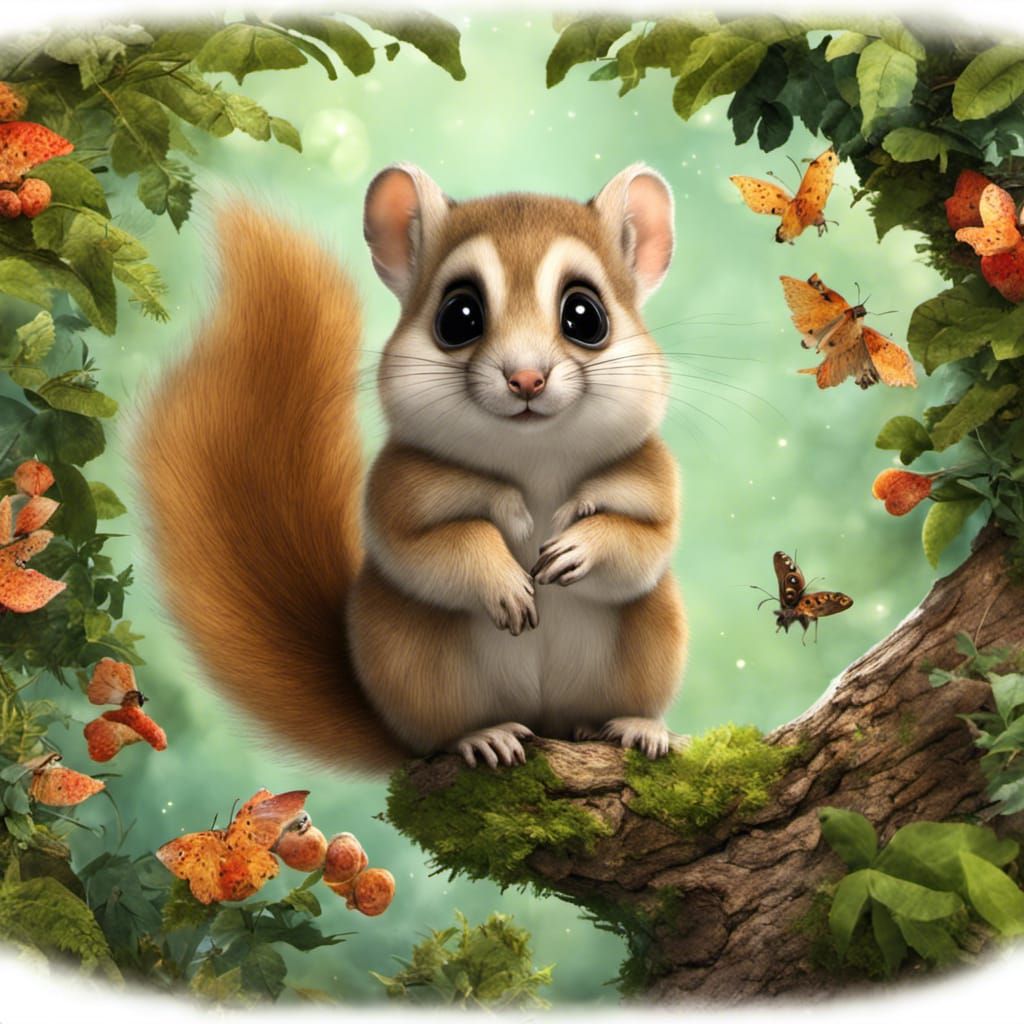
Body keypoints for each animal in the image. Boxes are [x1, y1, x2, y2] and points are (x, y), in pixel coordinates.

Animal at [138, 163, 687, 774]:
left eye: (585, 316)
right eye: (459, 316)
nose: (526, 379)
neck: (533, 460)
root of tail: (543, 718)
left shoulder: (653, 479)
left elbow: (644, 544)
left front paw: (576, 546)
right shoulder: (399, 489)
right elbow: (427, 548)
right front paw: (506, 571)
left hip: (651, 638)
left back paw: (634, 726)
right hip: (418, 663)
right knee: (439, 733)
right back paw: (484, 736)